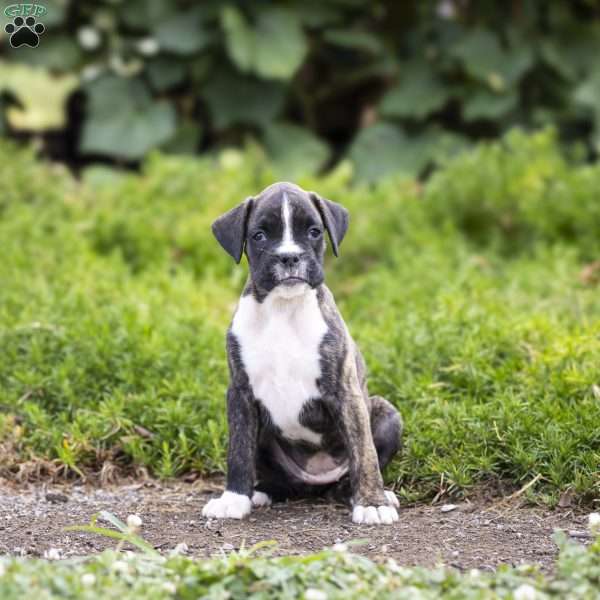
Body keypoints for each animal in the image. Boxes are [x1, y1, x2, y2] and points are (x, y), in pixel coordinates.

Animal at [203, 183, 404, 524]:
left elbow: (364, 451)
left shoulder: (345, 391)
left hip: (387, 413)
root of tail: (315, 482)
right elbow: (238, 449)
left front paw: (373, 503)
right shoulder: (240, 393)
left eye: (313, 231)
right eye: (259, 235)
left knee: (355, 467)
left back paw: (362, 493)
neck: (283, 308)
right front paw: (234, 498)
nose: (289, 257)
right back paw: (263, 491)